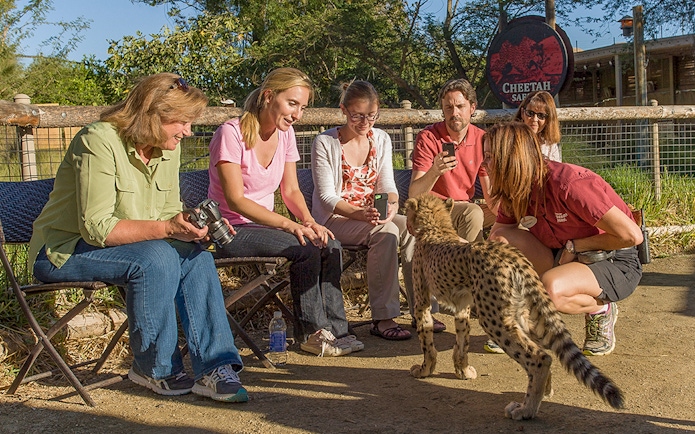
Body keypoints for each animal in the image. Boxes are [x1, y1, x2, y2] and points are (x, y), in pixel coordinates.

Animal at [404, 193, 624, 420]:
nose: (407, 220)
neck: (436, 227)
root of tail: (513, 255)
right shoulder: (463, 308)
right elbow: (462, 342)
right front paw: (462, 370)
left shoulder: (422, 303)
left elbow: (427, 340)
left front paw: (424, 370)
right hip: (521, 315)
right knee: (547, 349)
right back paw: (544, 391)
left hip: (494, 318)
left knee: (540, 357)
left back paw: (526, 409)